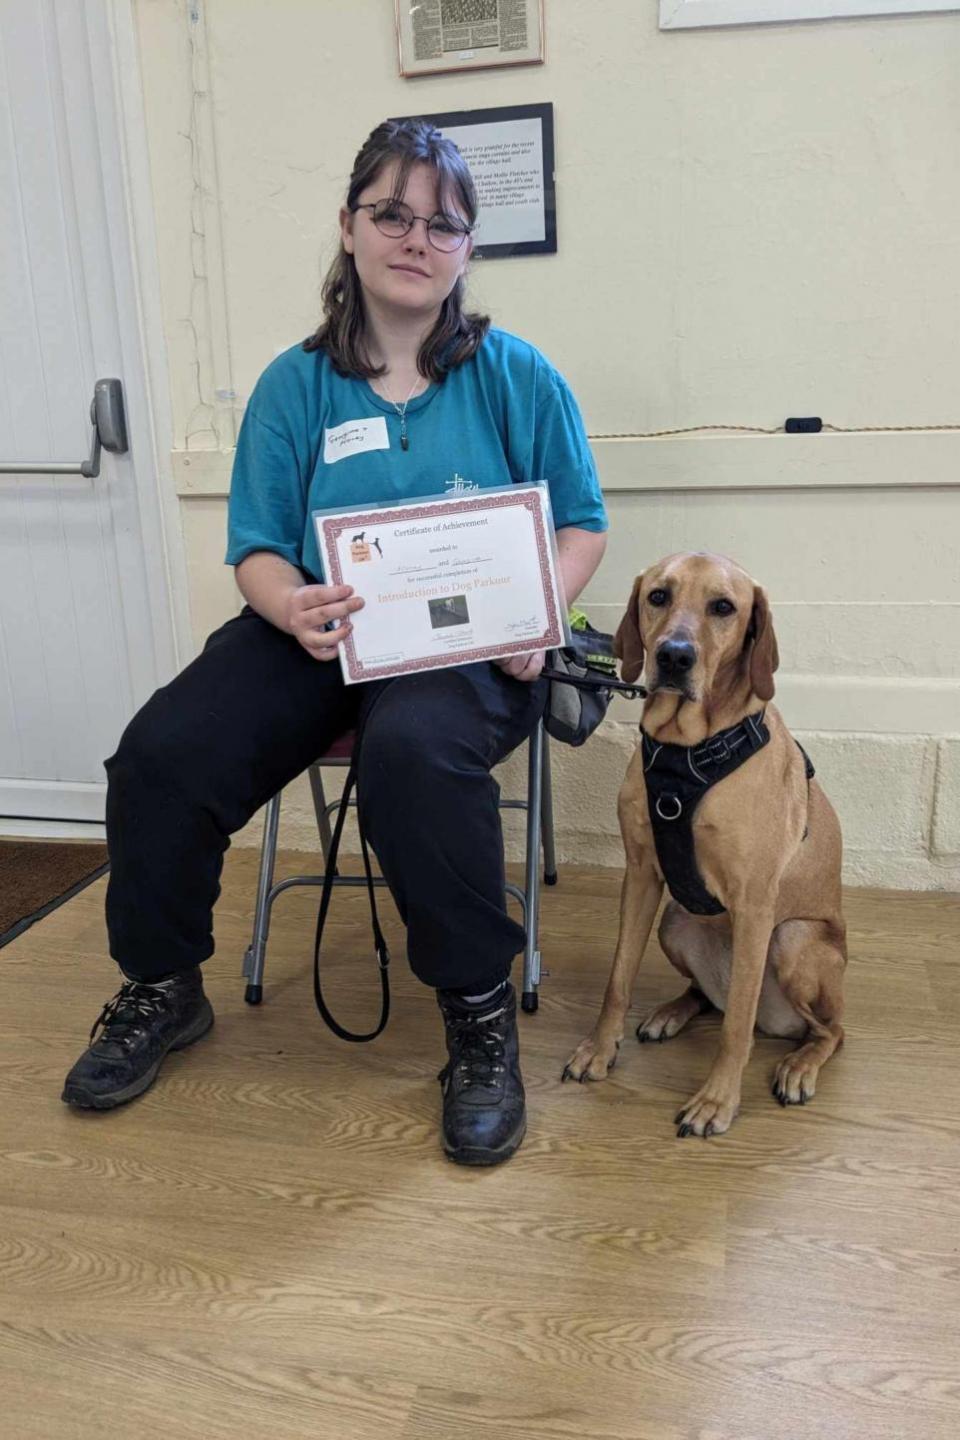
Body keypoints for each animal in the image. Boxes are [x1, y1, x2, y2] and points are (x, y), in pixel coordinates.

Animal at [564, 550, 846, 1134]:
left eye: (723, 607)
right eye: (658, 596)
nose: (674, 656)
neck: (687, 751)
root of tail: (779, 1024)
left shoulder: (756, 904)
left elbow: (736, 1026)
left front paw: (717, 1100)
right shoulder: (641, 875)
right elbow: (617, 979)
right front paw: (599, 1049)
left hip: (793, 939)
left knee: (827, 1030)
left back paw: (800, 1065)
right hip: (676, 920)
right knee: (709, 998)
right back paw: (672, 1012)